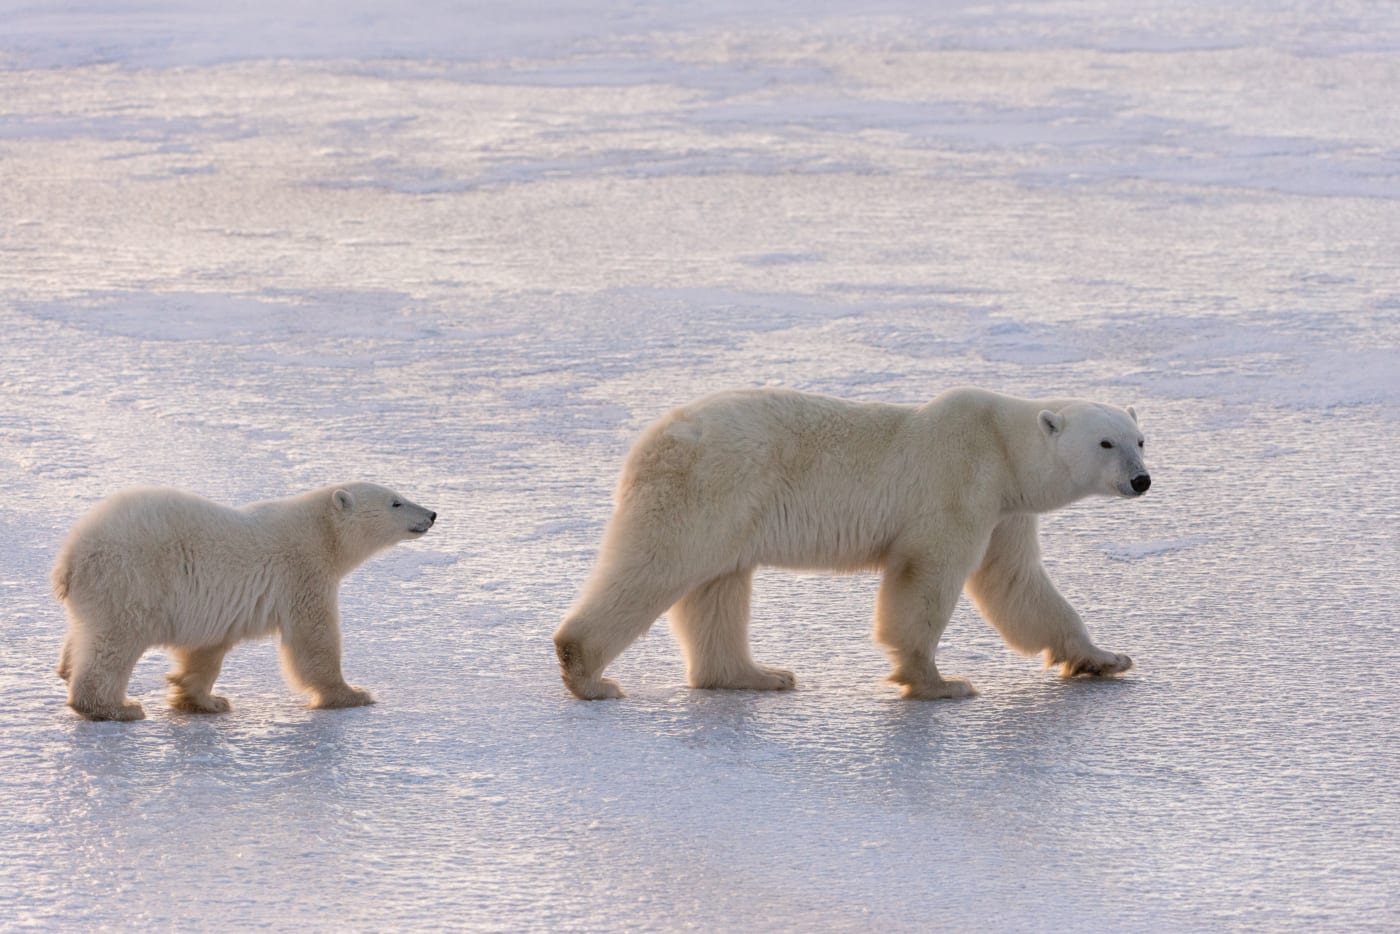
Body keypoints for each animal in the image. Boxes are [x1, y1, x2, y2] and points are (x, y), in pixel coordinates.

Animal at [54, 487, 434, 722]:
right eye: (396, 502)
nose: (431, 513)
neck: (320, 531)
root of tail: (72, 556)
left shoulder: (214, 606)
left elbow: (206, 651)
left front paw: (207, 701)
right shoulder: (302, 573)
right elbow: (313, 640)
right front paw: (353, 694)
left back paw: (68, 669)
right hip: (131, 580)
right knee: (115, 642)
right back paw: (117, 707)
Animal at [551, 386, 1153, 700]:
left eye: (1140, 439)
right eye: (1106, 442)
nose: (1141, 480)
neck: (1001, 446)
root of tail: (650, 440)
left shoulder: (1006, 511)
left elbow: (1018, 584)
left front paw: (1106, 657)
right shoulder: (957, 485)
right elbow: (927, 577)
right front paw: (940, 682)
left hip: (729, 510)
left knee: (718, 588)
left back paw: (758, 675)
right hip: (711, 486)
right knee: (659, 565)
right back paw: (587, 672)